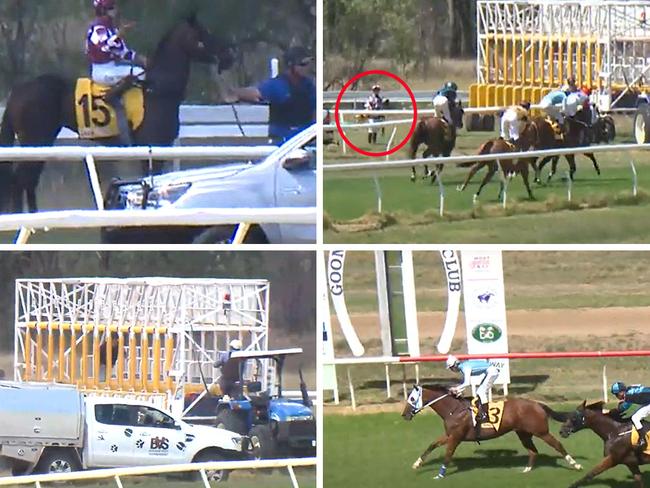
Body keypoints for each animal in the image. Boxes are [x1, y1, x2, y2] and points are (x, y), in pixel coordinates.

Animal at [0, 14, 233, 214]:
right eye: (203, 33)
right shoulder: (152, 148)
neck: (157, 90)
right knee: (20, 181)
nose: (228, 55)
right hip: (35, 139)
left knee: (27, 182)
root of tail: (18, 90)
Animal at [400, 386, 576, 478]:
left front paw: (440, 475)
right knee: (533, 451)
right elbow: (432, 445)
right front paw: (417, 464)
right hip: (523, 433)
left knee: (558, 445)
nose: (404, 415)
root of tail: (538, 404)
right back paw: (526, 469)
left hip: (541, 432)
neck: (453, 409)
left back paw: (576, 464)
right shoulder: (450, 435)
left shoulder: (456, 437)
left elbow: (448, 454)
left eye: (412, 399)